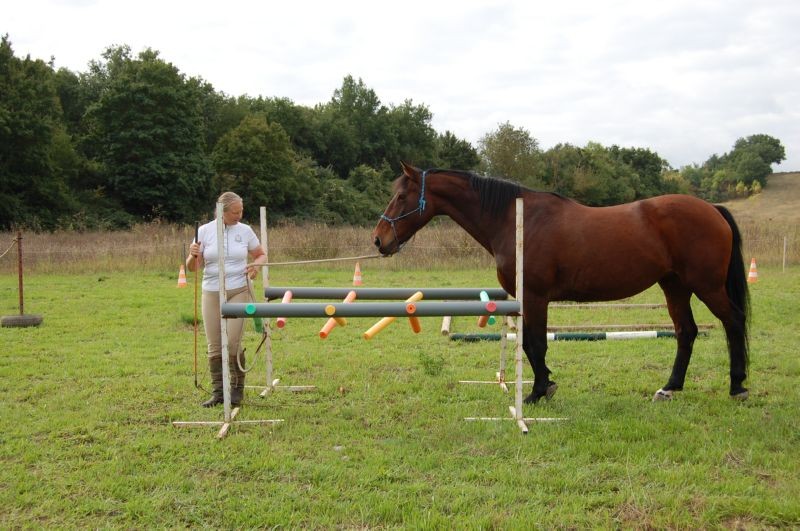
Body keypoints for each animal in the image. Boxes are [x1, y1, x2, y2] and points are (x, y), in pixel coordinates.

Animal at [372, 162, 750, 403]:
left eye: (402, 197)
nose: (378, 240)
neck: (517, 220)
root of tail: (713, 209)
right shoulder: (525, 298)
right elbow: (530, 343)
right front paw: (544, 385)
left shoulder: (535, 296)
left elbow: (536, 344)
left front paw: (539, 391)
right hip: (674, 286)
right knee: (686, 332)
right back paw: (669, 388)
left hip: (706, 286)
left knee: (733, 322)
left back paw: (738, 386)